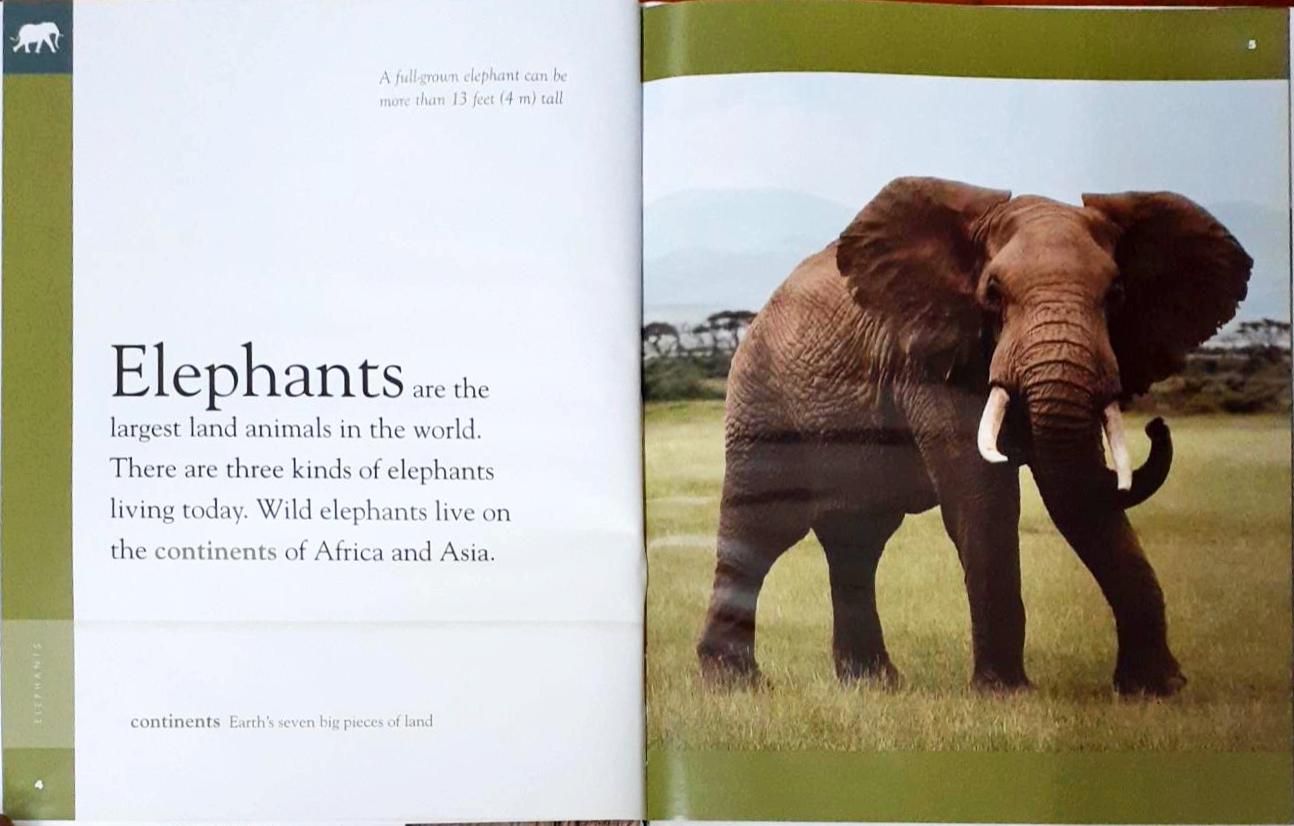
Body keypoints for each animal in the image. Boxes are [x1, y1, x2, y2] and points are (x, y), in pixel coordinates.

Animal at [697, 176, 1251, 697]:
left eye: (1115, 294)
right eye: (993, 294)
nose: (1158, 426)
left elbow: (1079, 500)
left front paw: (1156, 690)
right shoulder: (929, 359)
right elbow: (984, 495)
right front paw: (1007, 694)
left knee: (858, 539)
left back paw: (873, 684)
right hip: (761, 394)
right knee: (761, 528)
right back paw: (736, 684)